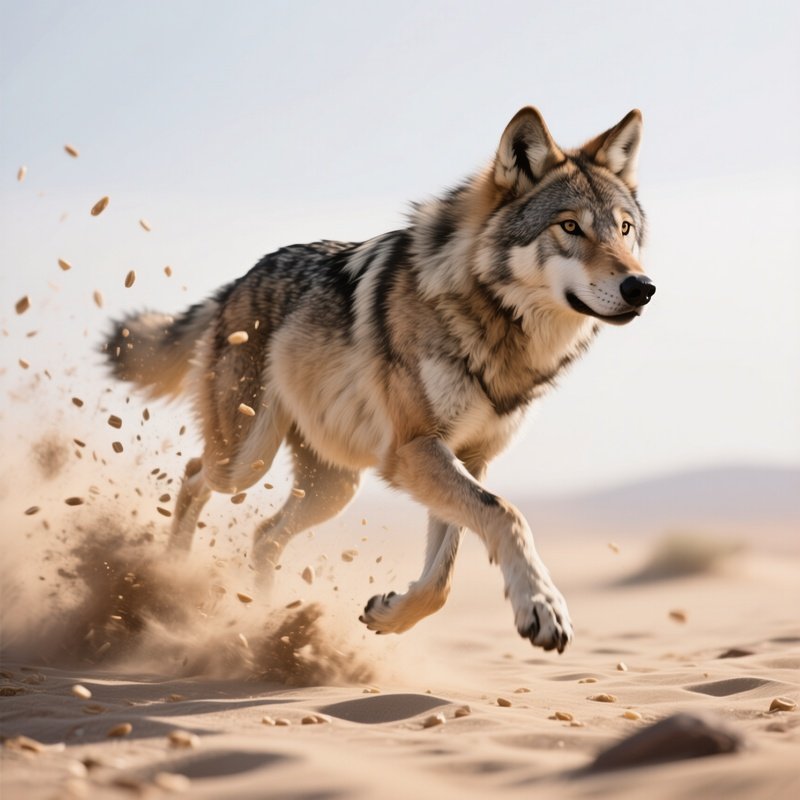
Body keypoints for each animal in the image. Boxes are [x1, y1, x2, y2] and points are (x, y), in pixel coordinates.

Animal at [106, 106, 654, 653]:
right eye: (570, 226)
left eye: (625, 228)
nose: (642, 287)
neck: (494, 324)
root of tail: (234, 285)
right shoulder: (415, 449)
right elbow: (506, 514)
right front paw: (542, 607)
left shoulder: (470, 458)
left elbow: (442, 577)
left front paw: (391, 616)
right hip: (246, 460)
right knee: (194, 474)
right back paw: (172, 578)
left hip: (333, 486)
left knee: (264, 535)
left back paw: (265, 624)